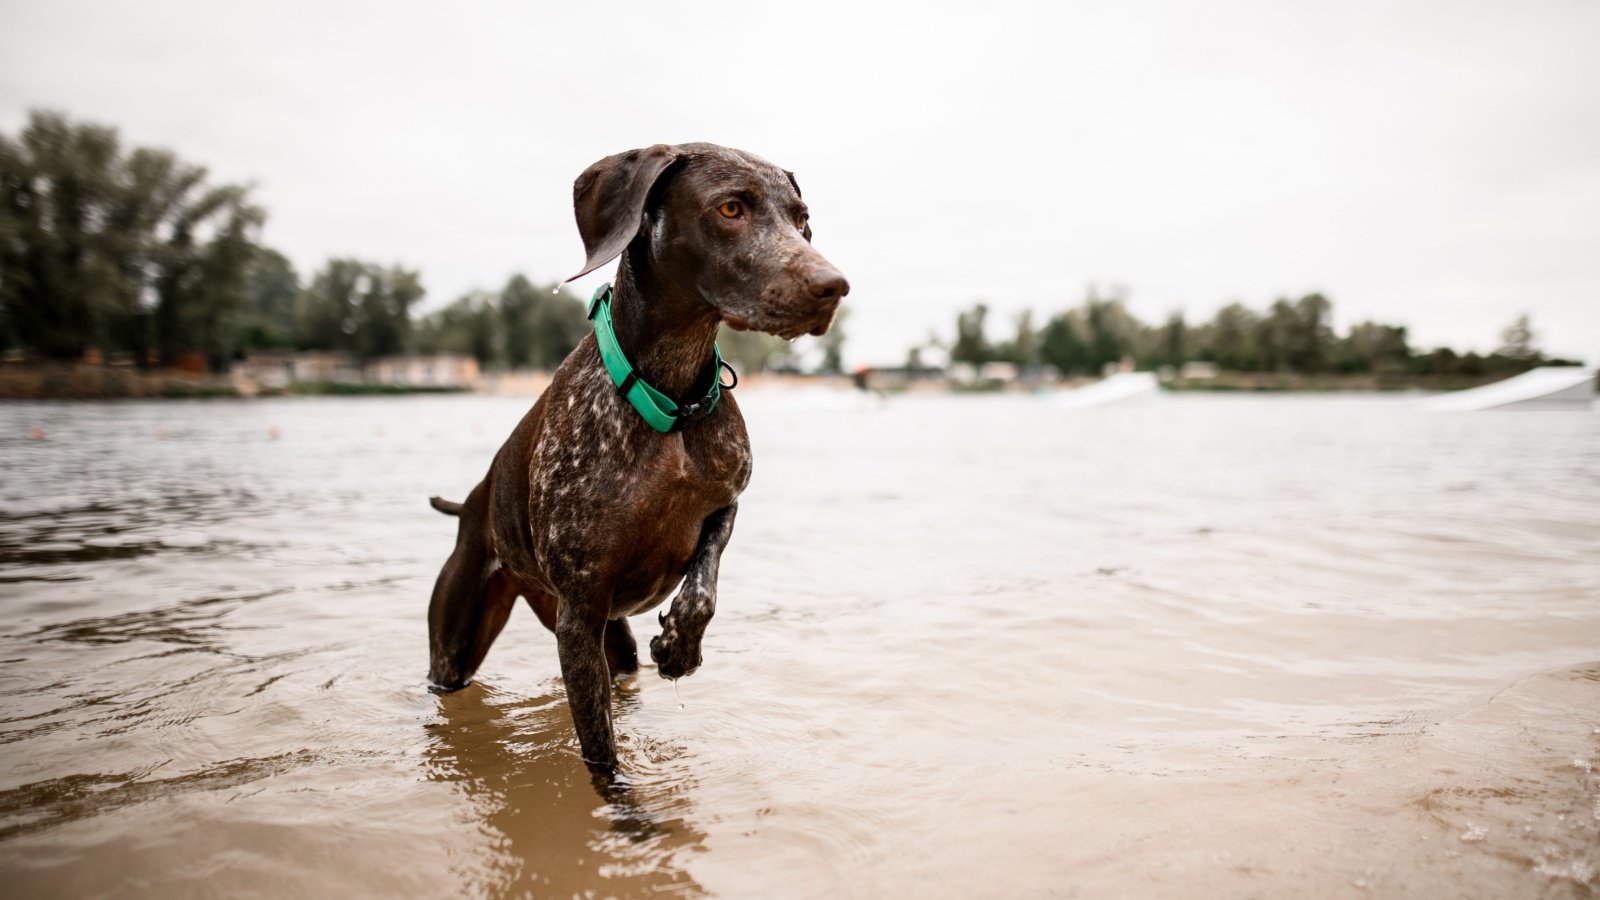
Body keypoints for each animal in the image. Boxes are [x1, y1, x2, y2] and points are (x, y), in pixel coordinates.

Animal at [425, 145, 851, 771]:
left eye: (802, 221)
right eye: (731, 208)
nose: (834, 286)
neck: (670, 397)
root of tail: (469, 506)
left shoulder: (725, 501)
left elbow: (703, 585)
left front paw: (679, 645)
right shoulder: (579, 619)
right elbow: (600, 753)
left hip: (609, 639)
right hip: (459, 645)